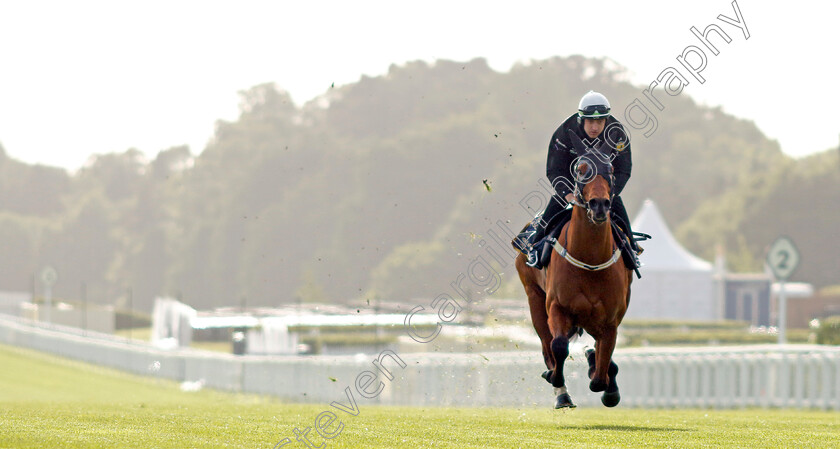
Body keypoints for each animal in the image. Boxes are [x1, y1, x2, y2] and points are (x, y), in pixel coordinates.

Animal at [512, 138, 632, 408]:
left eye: (610, 170)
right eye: (580, 170)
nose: (599, 205)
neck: (590, 260)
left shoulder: (611, 319)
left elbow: (602, 368)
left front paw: (607, 385)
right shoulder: (557, 305)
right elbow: (558, 346)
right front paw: (556, 380)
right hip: (534, 297)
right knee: (547, 345)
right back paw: (561, 391)